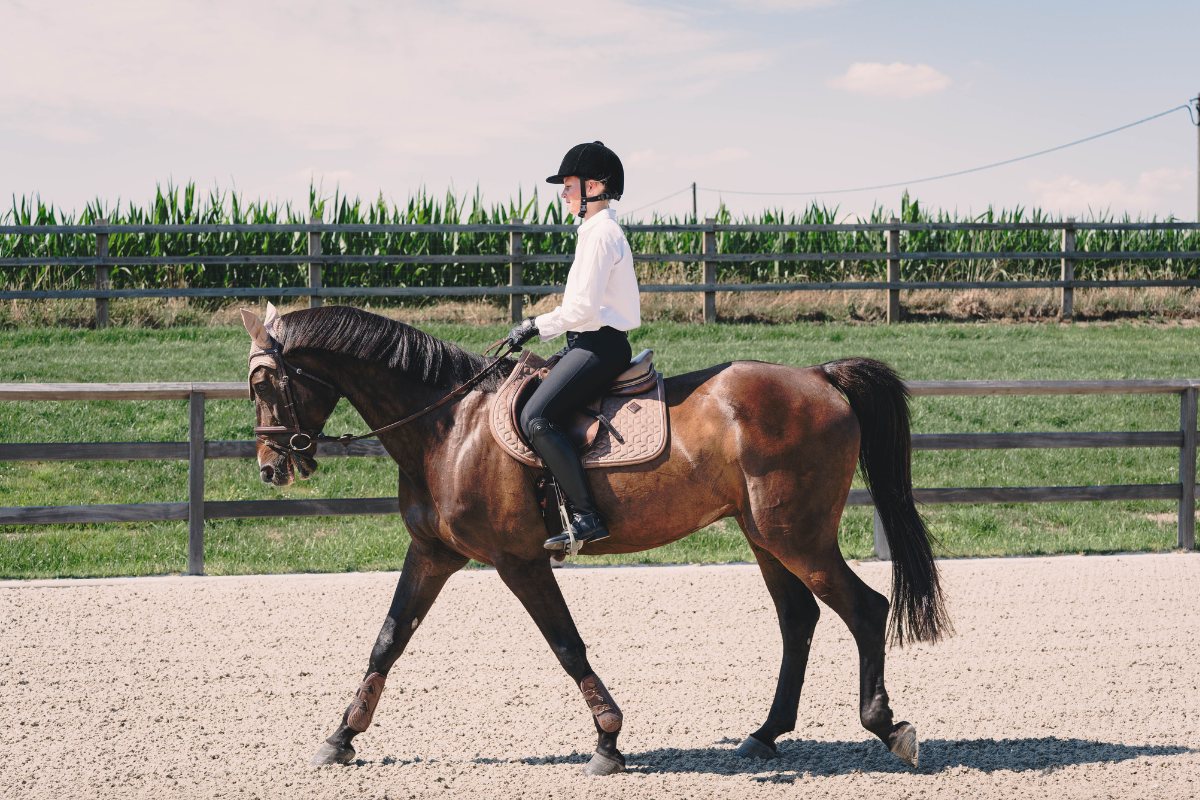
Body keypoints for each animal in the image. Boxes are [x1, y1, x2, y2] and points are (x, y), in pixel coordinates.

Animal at [240, 304, 950, 776]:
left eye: (262, 382)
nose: (271, 467)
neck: (448, 425)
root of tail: (819, 376)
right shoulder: (433, 554)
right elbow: (388, 639)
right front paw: (341, 736)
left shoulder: (518, 561)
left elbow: (565, 644)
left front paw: (608, 739)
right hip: (763, 535)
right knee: (799, 618)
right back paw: (765, 734)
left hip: (796, 535)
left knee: (865, 608)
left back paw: (887, 727)